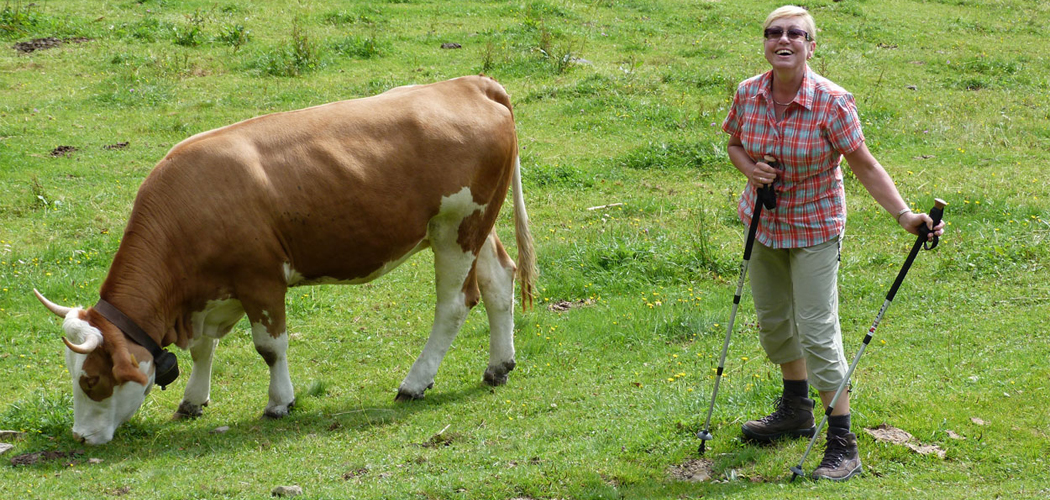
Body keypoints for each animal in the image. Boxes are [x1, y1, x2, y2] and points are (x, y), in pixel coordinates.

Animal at [34, 75, 533, 445]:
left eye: (90, 381)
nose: (79, 437)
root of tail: (470, 83)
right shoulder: (209, 295)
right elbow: (202, 348)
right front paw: (193, 400)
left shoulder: (260, 280)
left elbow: (270, 347)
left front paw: (280, 402)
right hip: (473, 226)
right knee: (498, 281)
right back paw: (498, 366)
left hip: (457, 231)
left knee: (454, 304)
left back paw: (415, 382)